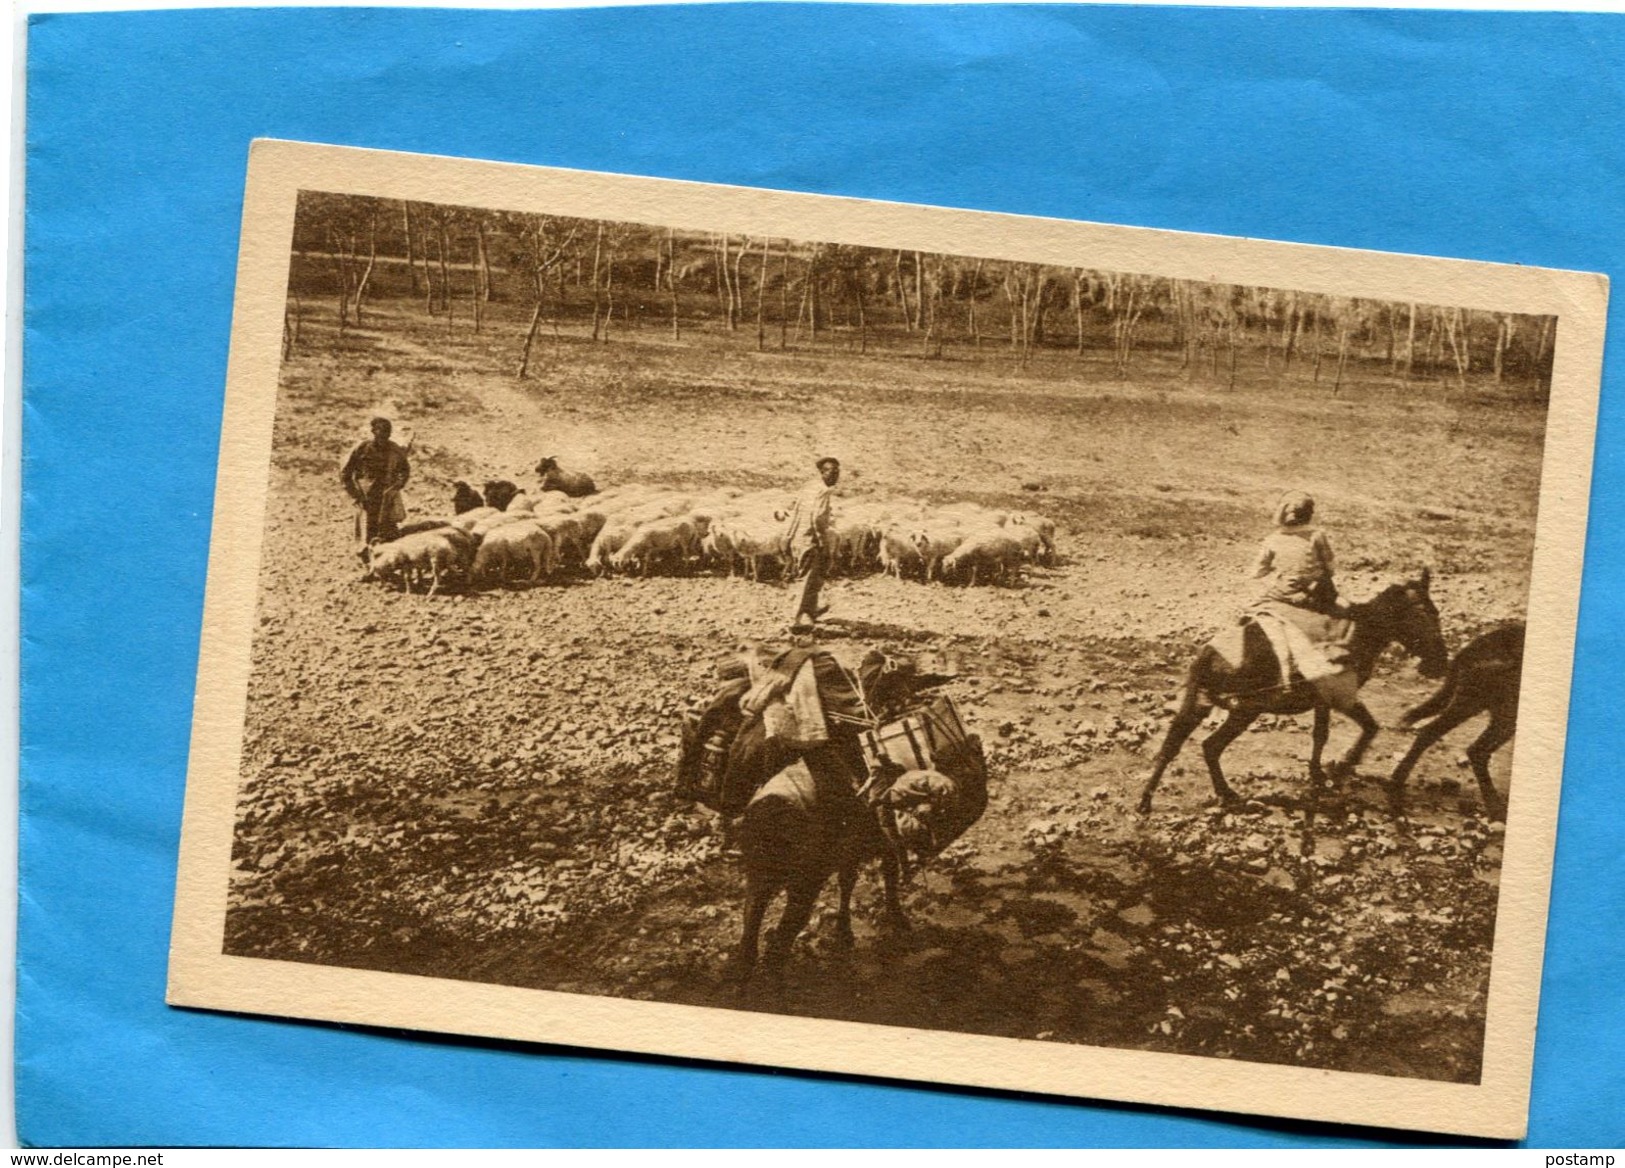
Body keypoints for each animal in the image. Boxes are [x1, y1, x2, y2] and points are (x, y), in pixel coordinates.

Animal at [1137, 570, 1449, 813]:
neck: (1358, 633)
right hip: (1245, 710)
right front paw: (1342, 766)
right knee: (1204, 746)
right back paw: (1217, 794)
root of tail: (1209, 653)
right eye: (1426, 614)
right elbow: (1368, 727)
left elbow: (1322, 735)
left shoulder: (1324, 700)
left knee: (1181, 745)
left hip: (1209, 705)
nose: (1441, 664)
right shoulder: (1341, 696)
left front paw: (1320, 773)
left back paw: (1150, 800)